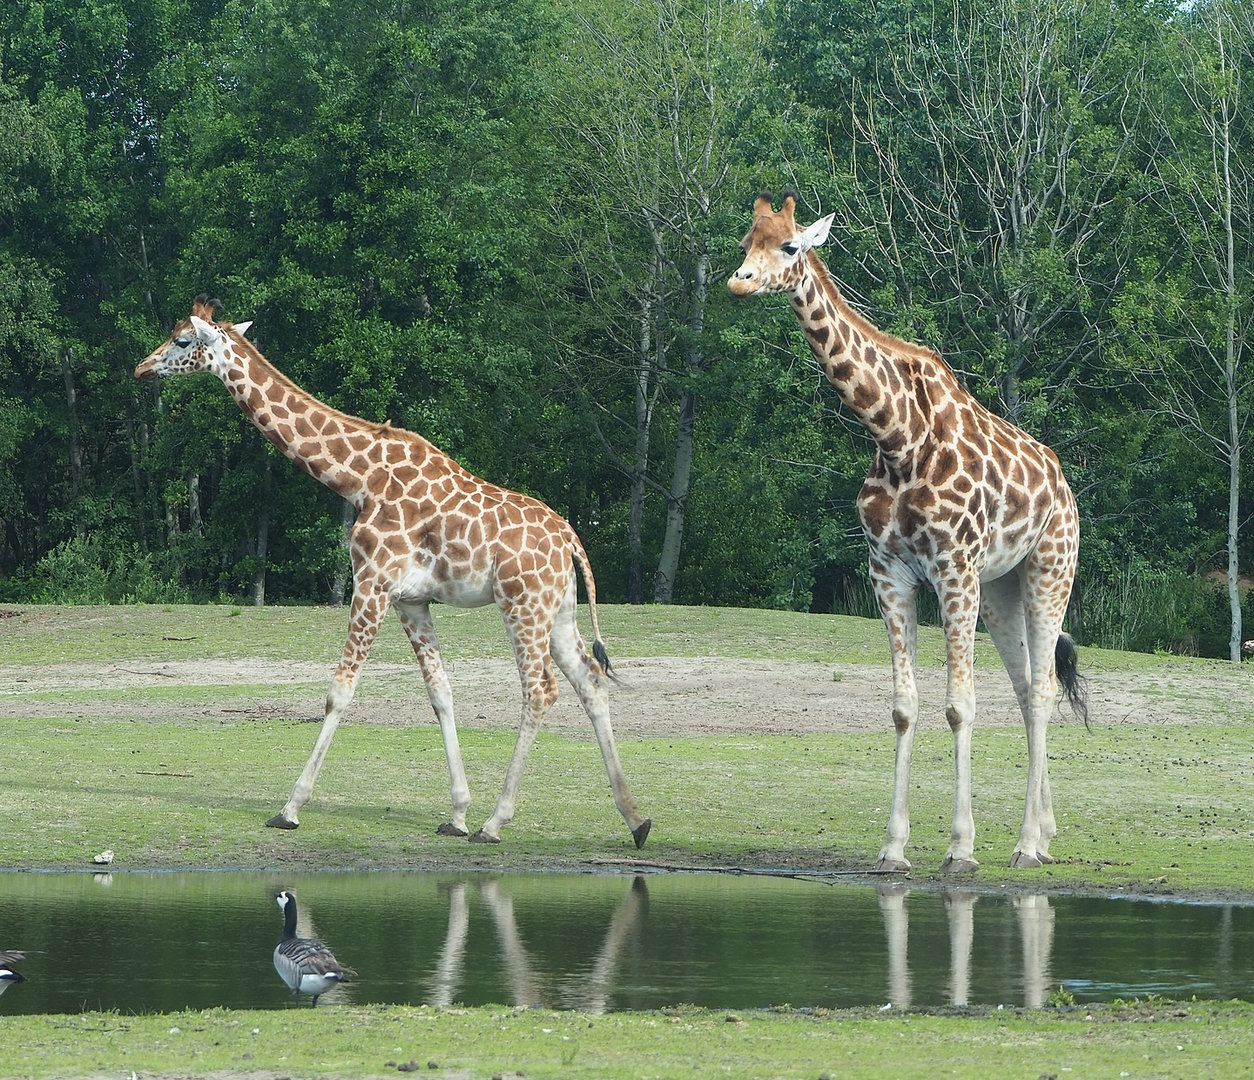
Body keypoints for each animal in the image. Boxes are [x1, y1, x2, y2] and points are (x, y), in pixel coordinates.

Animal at [135, 296, 651, 849]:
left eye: (182, 340)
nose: (142, 368)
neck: (357, 478)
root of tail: (571, 540)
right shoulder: (410, 599)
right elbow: (440, 693)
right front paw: (457, 813)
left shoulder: (371, 583)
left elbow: (339, 692)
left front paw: (290, 808)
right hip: (560, 611)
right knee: (590, 681)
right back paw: (635, 819)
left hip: (522, 605)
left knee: (540, 690)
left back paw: (496, 823)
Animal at [729, 193, 1086, 872]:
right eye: (745, 241)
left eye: (790, 245)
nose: (739, 281)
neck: (895, 435)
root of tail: (1062, 485)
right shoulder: (889, 571)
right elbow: (904, 706)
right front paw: (894, 847)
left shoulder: (952, 567)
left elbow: (958, 704)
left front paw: (961, 847)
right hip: (999, 590)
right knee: (1027, 687)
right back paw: (1046, 833)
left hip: (1048, 569)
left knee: (1043, 689)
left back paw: (1027, 844)